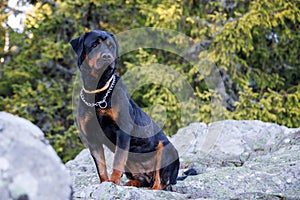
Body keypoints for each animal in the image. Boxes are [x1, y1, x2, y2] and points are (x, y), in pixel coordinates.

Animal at [69, 30, 178, 190]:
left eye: (111, 46)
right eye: (94, 45)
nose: (107, 56)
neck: (98, 91)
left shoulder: (122, 131)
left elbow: (118, 160)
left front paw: (113, 182)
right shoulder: (92, 139)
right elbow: (101, 167)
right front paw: (105, 183)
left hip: (166, 149)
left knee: (160, 181)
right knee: (143, 179)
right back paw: (132, 183)